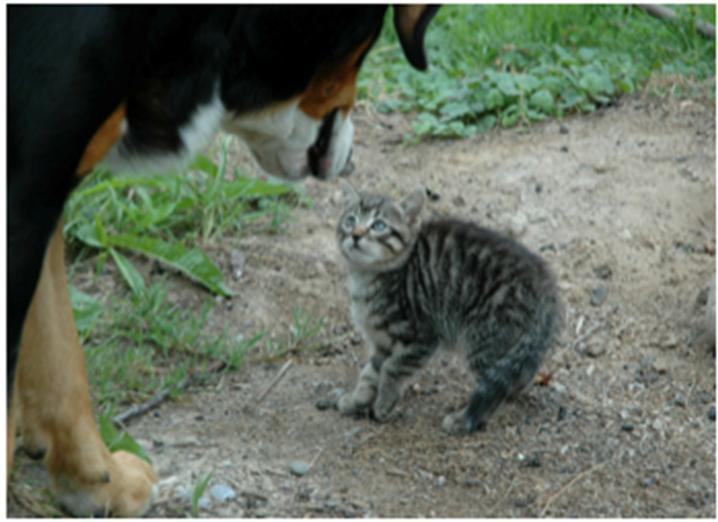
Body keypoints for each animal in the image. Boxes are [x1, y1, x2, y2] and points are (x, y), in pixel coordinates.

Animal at [336, 181, 564, 432]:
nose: (356, 235)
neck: (367, 277)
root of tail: (545, 285)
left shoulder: (421, 337)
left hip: (483, 340)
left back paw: (462, 420)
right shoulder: (381, 342)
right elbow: (370, 373)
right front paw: (357, 399)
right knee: (515, 377)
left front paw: (384, 402)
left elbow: (392, 368)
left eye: (378, 226)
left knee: (494, 387)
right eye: (350, 220)